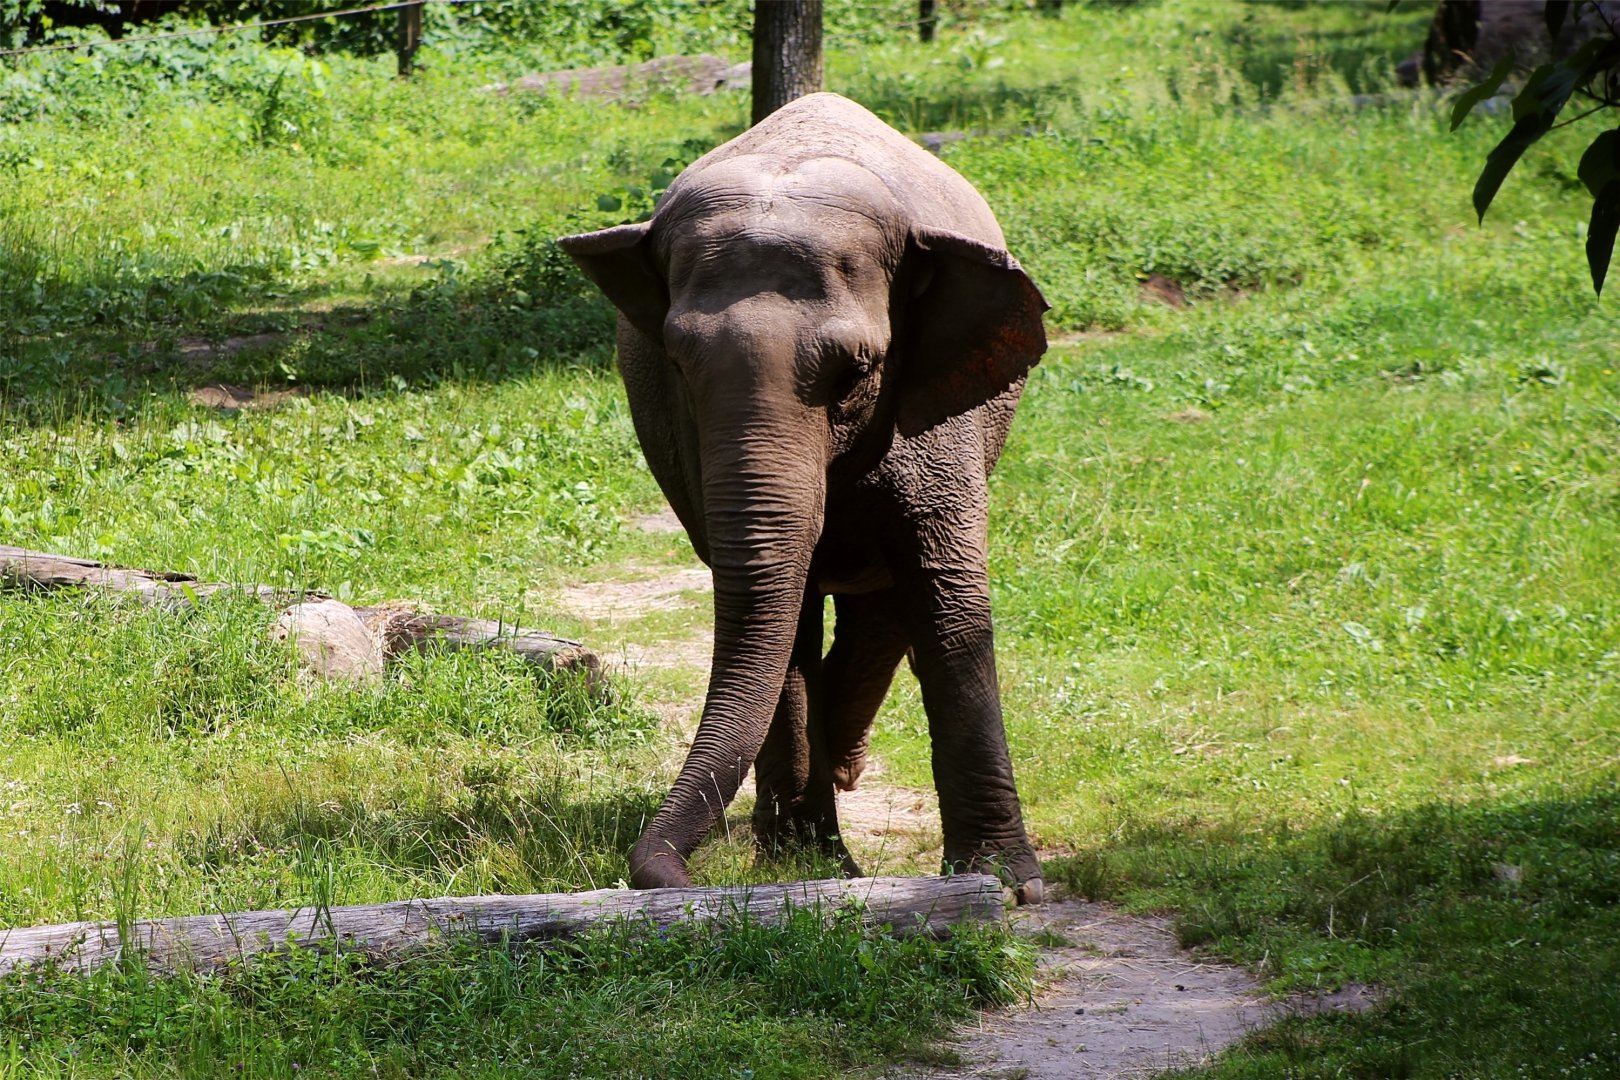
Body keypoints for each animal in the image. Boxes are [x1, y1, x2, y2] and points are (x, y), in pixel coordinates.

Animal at [558, 92, 1047, 904]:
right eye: (679, 363)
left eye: (856, 370)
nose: (669, 877)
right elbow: (781, 614)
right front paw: (806, 869)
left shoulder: (940, 402)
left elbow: (947, 594)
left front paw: (1009, 885)